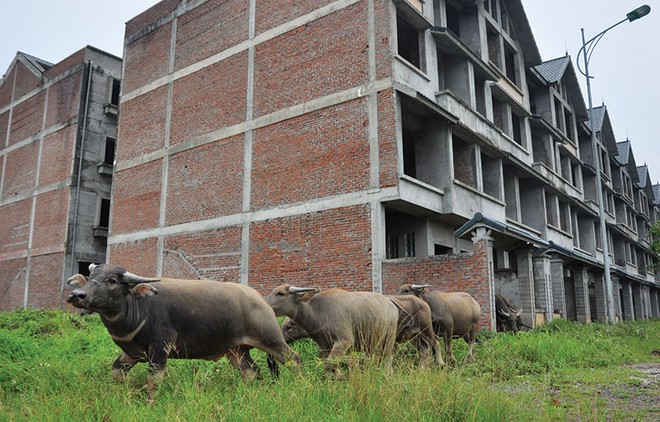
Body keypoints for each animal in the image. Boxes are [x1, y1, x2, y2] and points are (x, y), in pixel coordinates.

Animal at [67, 264, 300, 386]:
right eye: (90, 276)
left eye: (112, 280)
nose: (77, 295)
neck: (139, 307)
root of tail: (260, 299)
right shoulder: (133, 352)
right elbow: (116, 372)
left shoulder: (160, 348)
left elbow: (154, 379)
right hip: (236, 351)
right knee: (251, 371)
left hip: (271, 339)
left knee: (293, 359)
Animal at [264, 286, 398, 378]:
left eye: (280, 293)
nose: (266, 303)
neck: (317, 312)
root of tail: (391, 305)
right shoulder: (324, 347)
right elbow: (328, 365)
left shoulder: (344, 341)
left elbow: (330, 364)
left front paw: (344, 375)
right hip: (371, 345)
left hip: (388, 342)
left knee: (388, 362)